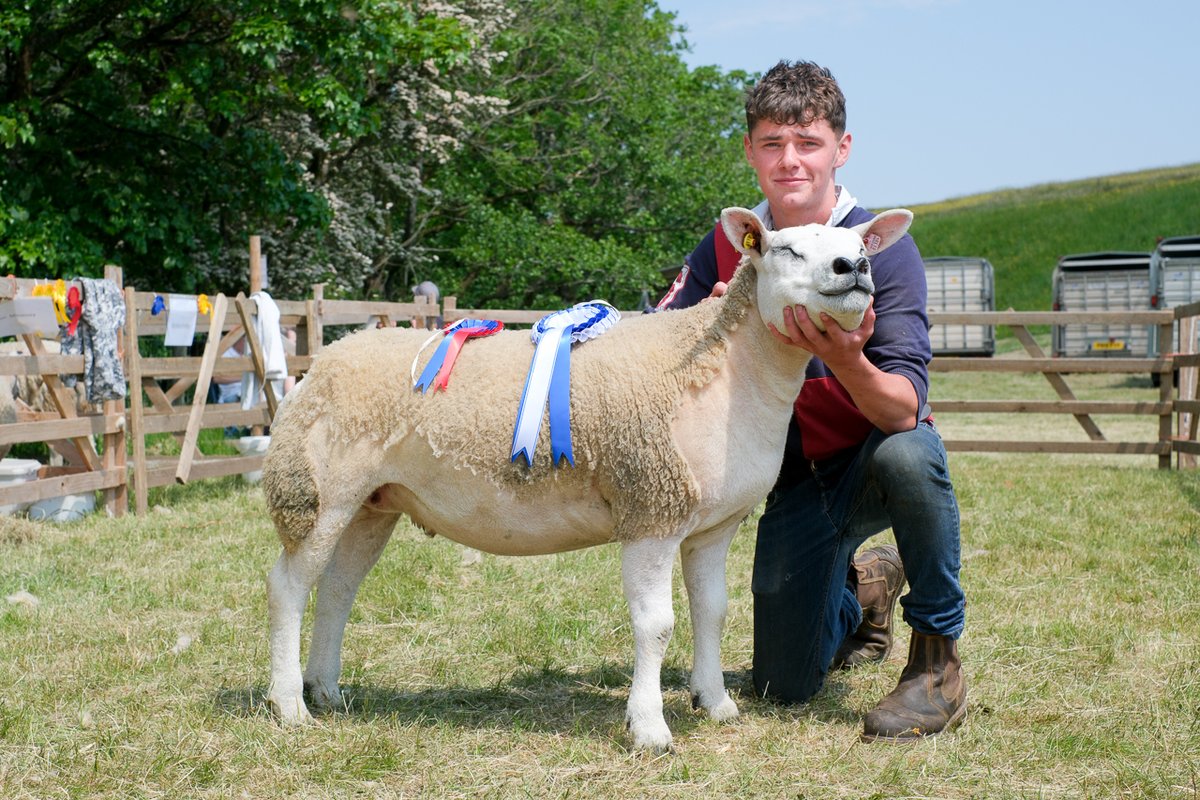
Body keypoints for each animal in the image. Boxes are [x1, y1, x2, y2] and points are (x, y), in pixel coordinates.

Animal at [262, 205, 912, 753]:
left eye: (860, 246)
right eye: (786, 249)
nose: (854, 268)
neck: (728, 373)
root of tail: (323, 359)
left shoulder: (712, 525)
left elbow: (713, 610)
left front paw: (715, 702)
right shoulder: (652, 509)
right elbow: (657, 625)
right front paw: (649, 728)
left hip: (374, 502)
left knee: (337, 590)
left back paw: (327, 691)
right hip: (319, 490)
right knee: (290, 587)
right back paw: (290, 704)